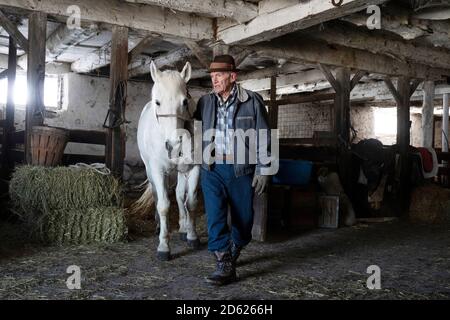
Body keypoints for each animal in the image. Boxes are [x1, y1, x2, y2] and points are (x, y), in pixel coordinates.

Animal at [134, 60, 200, 260]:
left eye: (185, 101)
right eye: (158, 102)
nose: (173, 144)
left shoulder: (193, 168)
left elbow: (191, 201)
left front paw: (192, 235)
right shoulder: (157, 170)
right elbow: (163, 205)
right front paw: (164, 246)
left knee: (179, 195)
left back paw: (183, 227)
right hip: (150, 170)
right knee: (157, 196)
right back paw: (158, 226)